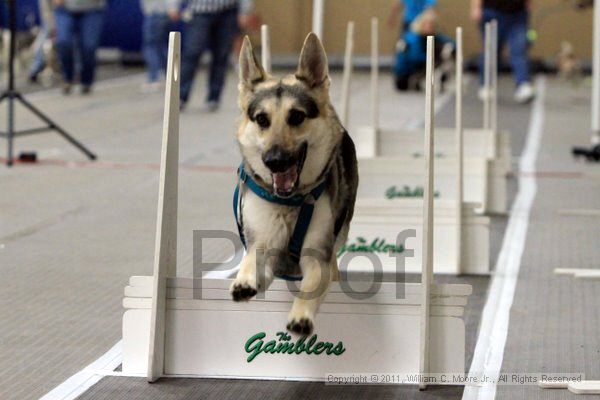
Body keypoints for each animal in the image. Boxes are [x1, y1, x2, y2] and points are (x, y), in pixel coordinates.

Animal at [232, 33, 358, 334]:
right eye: (262, 119)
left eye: (297, 116)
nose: (274, 161)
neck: (289, 203)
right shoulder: (262, 248)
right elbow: (251, 260)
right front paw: (243, 281)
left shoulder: (317, 257)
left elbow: (309, 288)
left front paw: (301, 315)